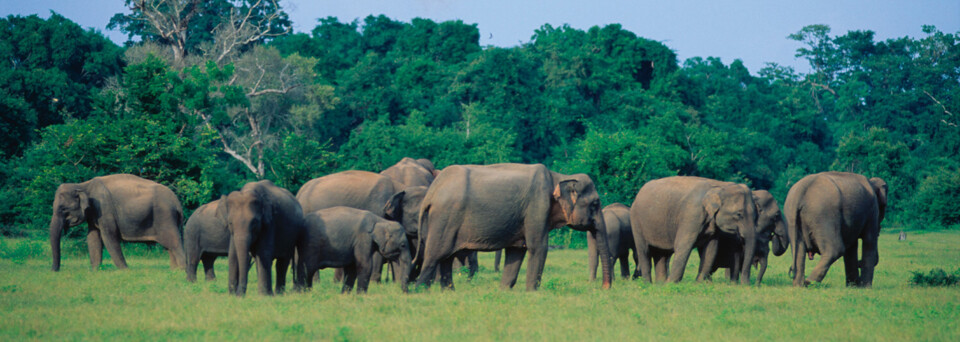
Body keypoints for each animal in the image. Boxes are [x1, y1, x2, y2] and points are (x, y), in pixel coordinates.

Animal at [48, 174, 188, 272]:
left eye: (62, 209)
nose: (54, 271)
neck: (84, 185)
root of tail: (177, 201)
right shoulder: (94, 213)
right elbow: (93, 237)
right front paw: (95, 271)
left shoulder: (104, 209)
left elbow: (108, 237)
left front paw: (125, 271)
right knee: (169, 245)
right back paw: (174, 270)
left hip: (164, 216)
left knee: (173, 242)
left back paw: (182, 270)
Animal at [414, 164, 612, 292]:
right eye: (595, 204)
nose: (604, 288)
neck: (559, 176)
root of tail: (432, 192)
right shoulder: (537, 207)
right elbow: (538, 248)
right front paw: (532, 292)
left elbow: (517, 251)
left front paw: (504, 291)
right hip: (444, 219)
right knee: (434, 256)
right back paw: (418, 291)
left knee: (446, 257)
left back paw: (448, 292)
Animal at [632, 175, 760, 284]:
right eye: (739, 214)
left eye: (756, 216)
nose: (746, 285)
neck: (720, 185)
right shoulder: (691, 215)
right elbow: (683, 244)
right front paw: (671, 284)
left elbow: (711, 249)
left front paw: (699, 283)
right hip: (637, 223)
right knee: (644, 251)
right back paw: (648, 284)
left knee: (662, 254)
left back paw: (659, 284)